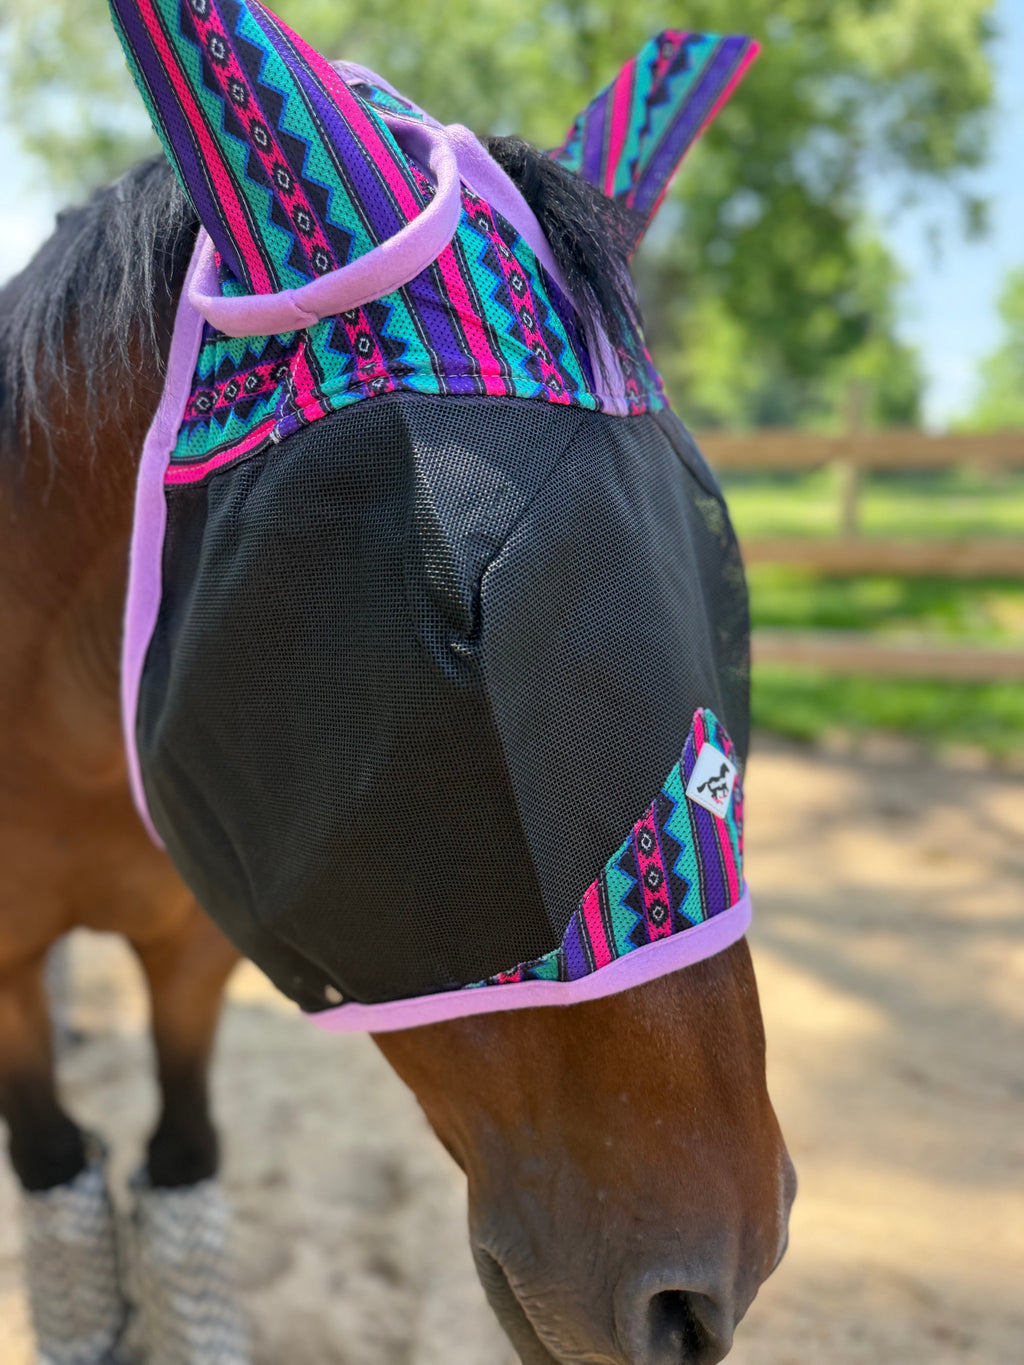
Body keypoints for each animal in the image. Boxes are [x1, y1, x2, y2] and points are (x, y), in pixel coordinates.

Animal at [0, 143, 793, 1365]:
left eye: (720, 592)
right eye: (452, 635)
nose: (724, 1274)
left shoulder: (197, 945)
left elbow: (182, 1158)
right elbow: (52, 1160)